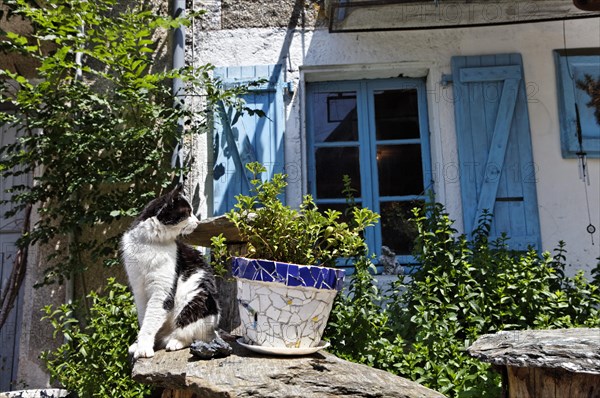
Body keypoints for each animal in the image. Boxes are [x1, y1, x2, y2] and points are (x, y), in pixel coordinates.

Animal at [119, 183, 220, 358]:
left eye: (192, 212)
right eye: (187, 212)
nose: (197, 222)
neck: (150, 243)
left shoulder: (161, 290)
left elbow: (150, 320)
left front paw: (143, 348)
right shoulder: (138, 289)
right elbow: (144, 319)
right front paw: (140, 345)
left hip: (195, 299)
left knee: (191, 334)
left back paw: (174, 342)